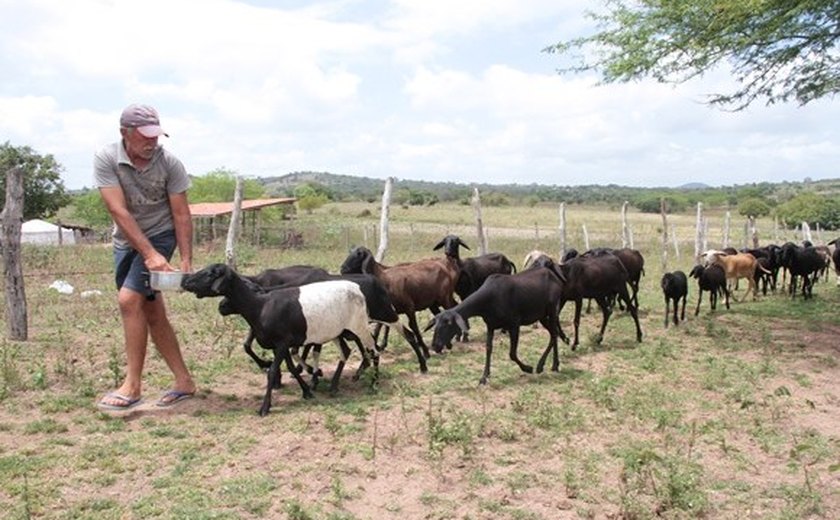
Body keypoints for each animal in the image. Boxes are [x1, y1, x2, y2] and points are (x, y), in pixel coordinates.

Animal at [185, 262, 382, 416]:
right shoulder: (278, 345)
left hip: (358, 326)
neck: (259, 305)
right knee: (349, 351)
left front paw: (265, 407)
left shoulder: (281, 344)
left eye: (210, 273)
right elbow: (290, 367)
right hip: (339, 331)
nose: (186, 281)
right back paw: (335, 385)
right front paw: (306, 390)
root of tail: (357, 289)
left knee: (374, 350)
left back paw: (374, 383)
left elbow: (272, 371)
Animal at [424, 262, 568, 384]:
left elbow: (512, 354)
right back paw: (549, 365)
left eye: (448, 324)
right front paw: (484, 377)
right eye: (435, 326)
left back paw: (545, 365)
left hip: (552, 309)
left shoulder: (514, 324)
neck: (487, 302)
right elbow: (489, 348)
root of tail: (555, 278)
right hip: (541, 315)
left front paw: (527, 368)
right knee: (553, 333)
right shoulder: (491, 325)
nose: (435, 346)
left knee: (554, 334)